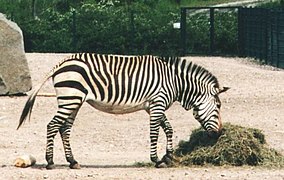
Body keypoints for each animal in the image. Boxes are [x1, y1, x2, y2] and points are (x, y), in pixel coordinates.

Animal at [17, 53, 229, 169]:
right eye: (219, 106)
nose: (219, 133)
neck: (175, 82)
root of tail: (62, 63)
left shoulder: (153, 106)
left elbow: (168, 129)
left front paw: (168, 156)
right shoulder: (157, 103)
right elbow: (154, 133)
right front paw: (156, 160)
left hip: (74, 101)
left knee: (64, 129)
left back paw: (72, 161)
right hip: (71, 98)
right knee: (52, 125)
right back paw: (50, 162)